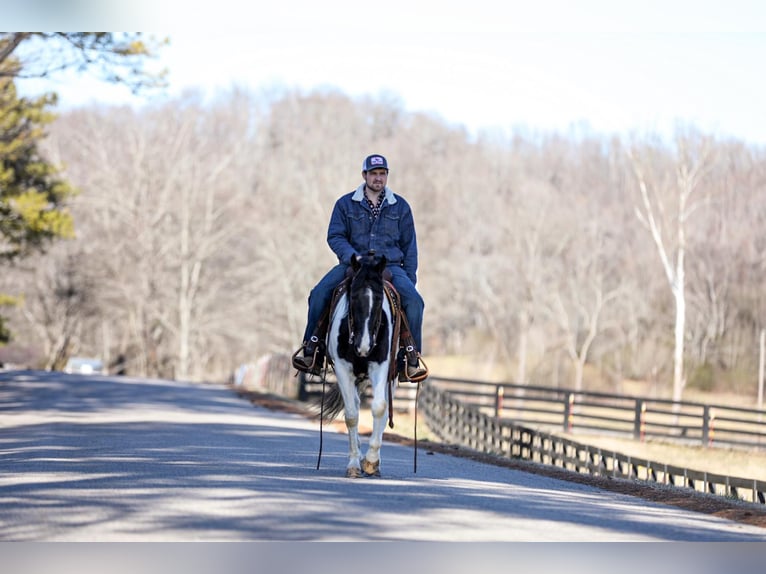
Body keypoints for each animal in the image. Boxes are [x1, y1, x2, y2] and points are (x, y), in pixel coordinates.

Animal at [320, 252, 400, 476]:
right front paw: (355, 464)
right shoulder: (342, 369)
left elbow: (380, 408)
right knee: (354, 404)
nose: (364, 346)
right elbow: (351, 415)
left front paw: (371, 461)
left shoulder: (381, 366)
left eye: (379, 298)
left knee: (384, 411)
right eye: (354, 296)